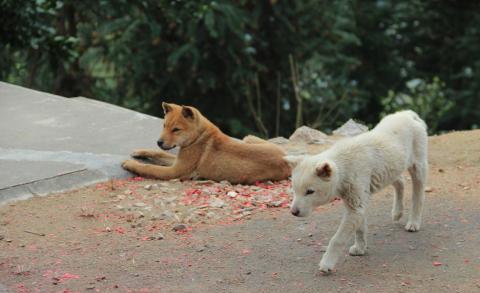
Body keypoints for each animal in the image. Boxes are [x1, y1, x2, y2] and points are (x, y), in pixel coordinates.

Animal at [122, 102, 290, 182]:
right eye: (164, 126)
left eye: (176, 130)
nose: (159, 142)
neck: (198, 136)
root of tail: (287, 159)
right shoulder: (177, 160)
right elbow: (158, 153)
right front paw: (139, 152)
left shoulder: (175, 171)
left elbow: (149, 167)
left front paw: (130, 164)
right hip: (248, 138)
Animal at [284, 109, 428, 272]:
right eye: (294, 190)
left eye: (309, 192)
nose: (293, 212)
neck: (343, 166)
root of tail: (408, 114)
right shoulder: (357, 202)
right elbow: (360, 229)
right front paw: (360, 248)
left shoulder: (356, 206)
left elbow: (337, 239)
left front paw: (327, 263)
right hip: (391, 168)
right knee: (400, 182)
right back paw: (397, 213)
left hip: (418, 166)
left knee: (418, 195)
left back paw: (413, 222)